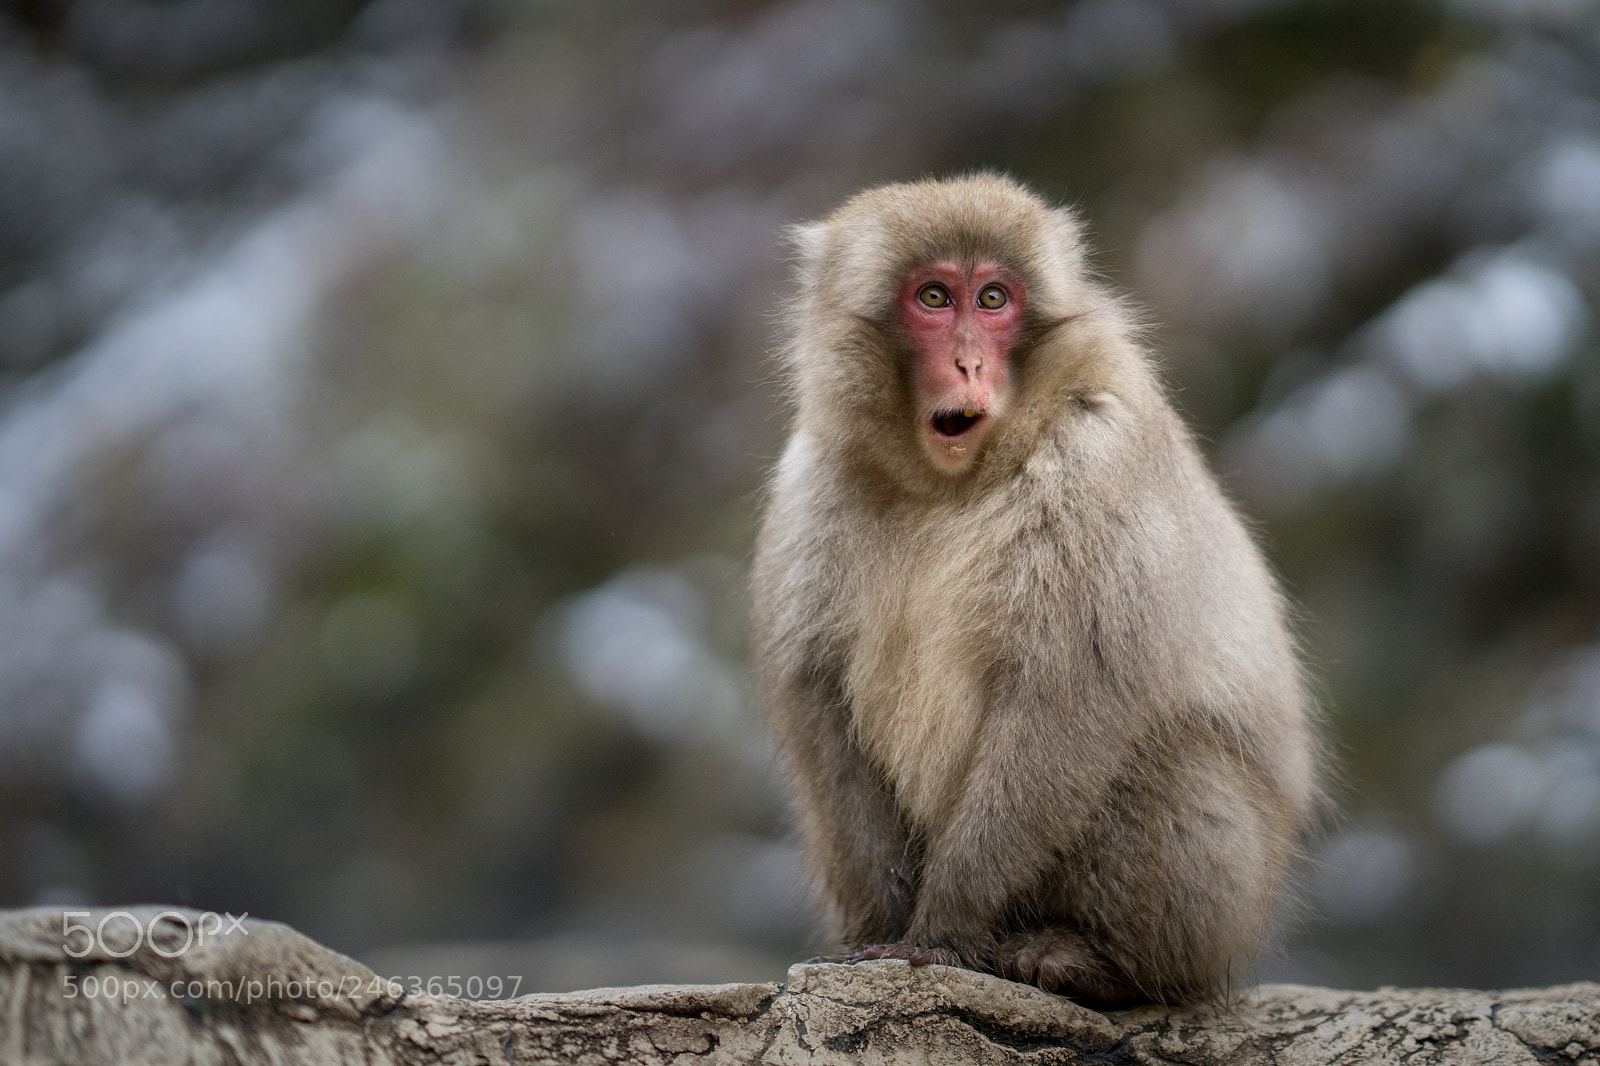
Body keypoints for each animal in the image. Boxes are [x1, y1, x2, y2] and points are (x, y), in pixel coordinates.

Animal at [750, 174, 1320, 1008]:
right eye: (933, 297)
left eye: (992, 298)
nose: (967, 365)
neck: (948, 484)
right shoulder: (812, 477)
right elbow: (818, 698)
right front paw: (878, 934)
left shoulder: (1095, 457)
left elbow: (1067, 698)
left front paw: (941, 931)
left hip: (1223, 901)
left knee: (1158, 753)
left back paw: (1097, 964)